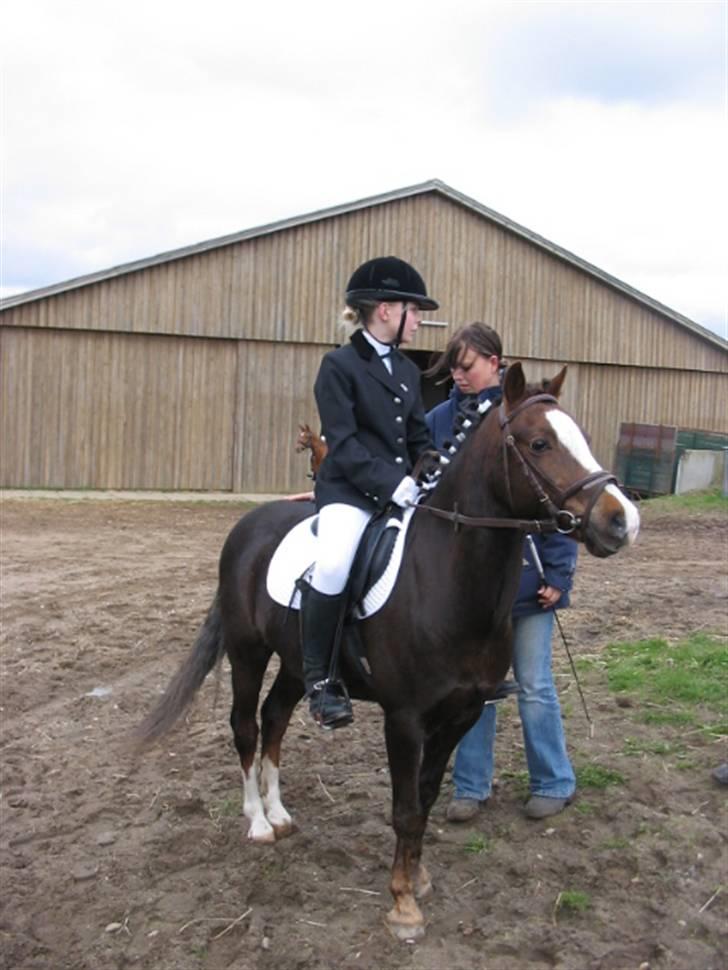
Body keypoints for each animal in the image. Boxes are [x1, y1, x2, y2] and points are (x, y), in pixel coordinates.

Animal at [135, 364, 636, 936]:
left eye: (584, 438)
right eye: (539, 443)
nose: (622, 521)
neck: (445, 579)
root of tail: (248, 526)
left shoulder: (461, 714)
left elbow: (426, 798)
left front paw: (417, 879)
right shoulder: (404, 720)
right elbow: (405, 808)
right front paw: (402, 904)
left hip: (297, 665)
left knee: (275, 718)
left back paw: (280, 813)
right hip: (247, 651)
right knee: (244, 725)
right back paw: (258, 821)